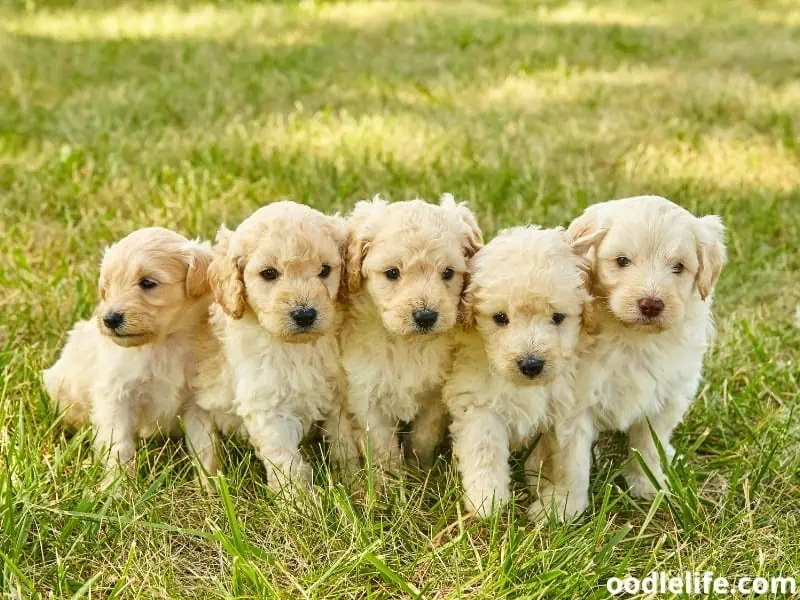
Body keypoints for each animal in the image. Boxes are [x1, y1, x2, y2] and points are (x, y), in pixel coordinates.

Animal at [42, 227, 219, 486]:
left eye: (148, 283)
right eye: (107, 287)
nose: (109, 319)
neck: (163, 343)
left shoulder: (197, 401)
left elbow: (204, 446)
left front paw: (210, 485)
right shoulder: (115, 396)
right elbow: (119, 446)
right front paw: (117, 488)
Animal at [194, 202, 356, 492]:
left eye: (325, 270)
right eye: (269, 274)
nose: (305, 315)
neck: (295, 348)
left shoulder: (336, 392)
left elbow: (344, 442)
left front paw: (355, 482)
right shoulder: (267, 406)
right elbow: (286, 462)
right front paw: (299, 500)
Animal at [342, 195, 482, 472]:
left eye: (448, 272)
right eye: (392, 273)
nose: (426, 317)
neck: (407, 344)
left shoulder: (436, 395)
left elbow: (423, 438)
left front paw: (419, 471)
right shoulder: (366, 396)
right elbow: (383, 448)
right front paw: (389, 480)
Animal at [444, 225, 608, 516]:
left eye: (557, 317)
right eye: (500, 318)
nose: (531, 365)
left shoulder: (567, 404)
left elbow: (565, 456)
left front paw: (558, 504)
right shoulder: (478, 401)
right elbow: (484, 448)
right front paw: (487, 499)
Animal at [532, 197, 724, 520]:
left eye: (678, 267)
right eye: (622, 261)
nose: (651, 304)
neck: (633, 338)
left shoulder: (667, 398)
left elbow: (648, 445)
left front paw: (648, 484)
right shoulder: (574, 402)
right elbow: (572, 461)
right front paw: (562, 506)